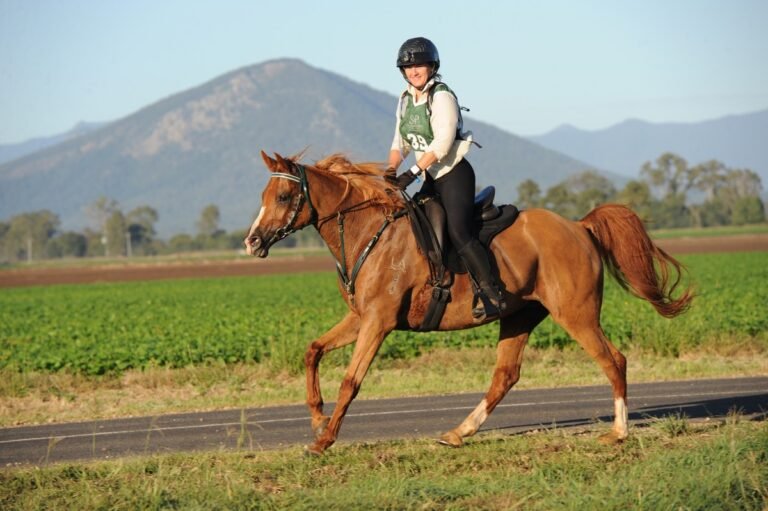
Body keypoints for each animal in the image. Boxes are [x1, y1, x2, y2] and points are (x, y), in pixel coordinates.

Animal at [245, 151, 692, 455]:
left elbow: (351, 381)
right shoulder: (360, 318)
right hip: (519, 316)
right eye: (264, 193)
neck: (369, 231)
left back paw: (618, 432)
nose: (251, 241)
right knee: (505, 376)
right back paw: (459, 432)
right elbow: (313, 350)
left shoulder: (378, 322)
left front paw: (324, 440)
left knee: (614, 361)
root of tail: (579, 227)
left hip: (576, 315)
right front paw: (317, 417)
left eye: (283, 196)